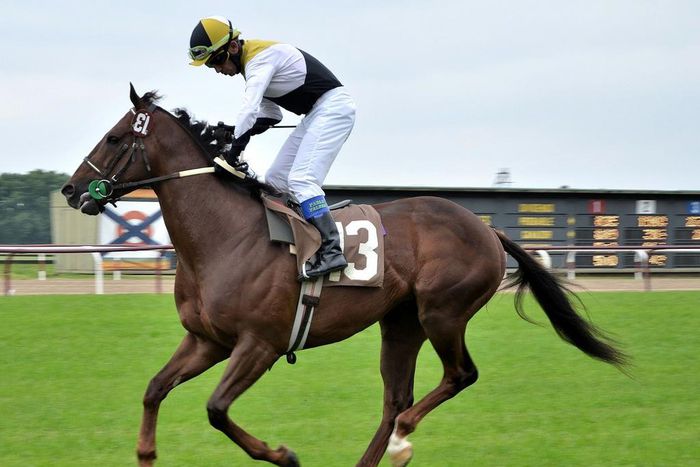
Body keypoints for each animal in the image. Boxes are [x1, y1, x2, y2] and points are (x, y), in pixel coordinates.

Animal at [61, 85, 626, 467]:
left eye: (113, 138)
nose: (71, 190)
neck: (224, 237)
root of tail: (487, 229)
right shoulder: (207, 340)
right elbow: (154, 389)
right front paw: (145, 452)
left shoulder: (258, 344)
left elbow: (217, 409)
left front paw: (284, 454)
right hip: (400, 323)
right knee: (396, 398)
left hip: (442, 313)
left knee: (456, 377)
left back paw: (402, 440)